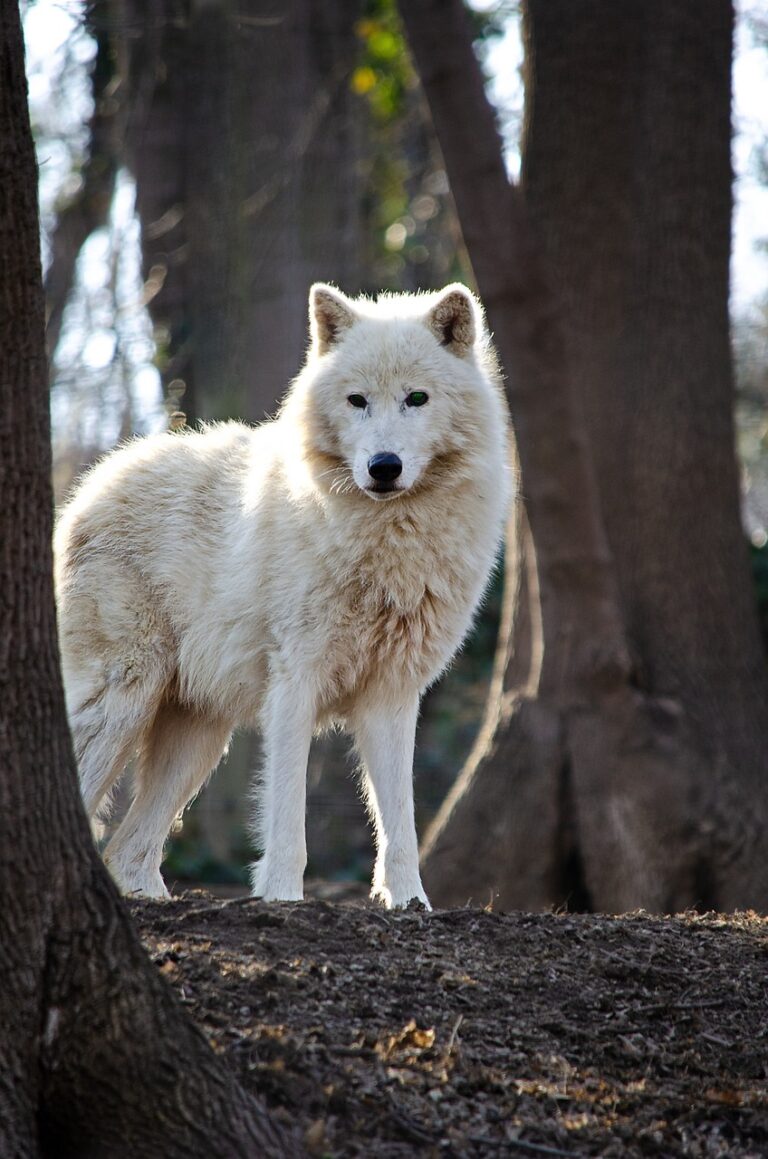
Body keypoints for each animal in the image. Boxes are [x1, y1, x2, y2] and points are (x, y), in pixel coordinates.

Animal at [54, 283, 512, 909]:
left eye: (417, 399)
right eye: (356, 400)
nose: (384, 466)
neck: (387, 541)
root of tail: (91, 483)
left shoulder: (392, 694)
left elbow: (401, 822)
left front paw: (410, 903)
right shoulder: (296, 682)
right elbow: (287, 816)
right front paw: (281, 899)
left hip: (197, 737)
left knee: (129, 850)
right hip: (123, 701)